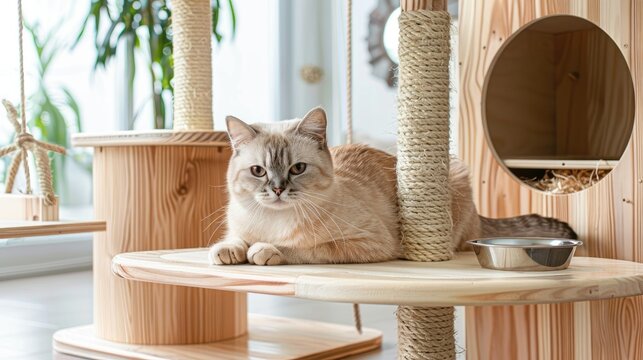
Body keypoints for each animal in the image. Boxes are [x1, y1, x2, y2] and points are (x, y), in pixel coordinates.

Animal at [208, 106, 580, 264]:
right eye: (258, 171)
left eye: (297, 169)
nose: (277, 189)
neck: (273, 220)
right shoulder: (239, 226)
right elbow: (234, 240)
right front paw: (229, 250)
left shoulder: (366, 243)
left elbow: (300, 249)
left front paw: (264, 250)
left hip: (456, 175)